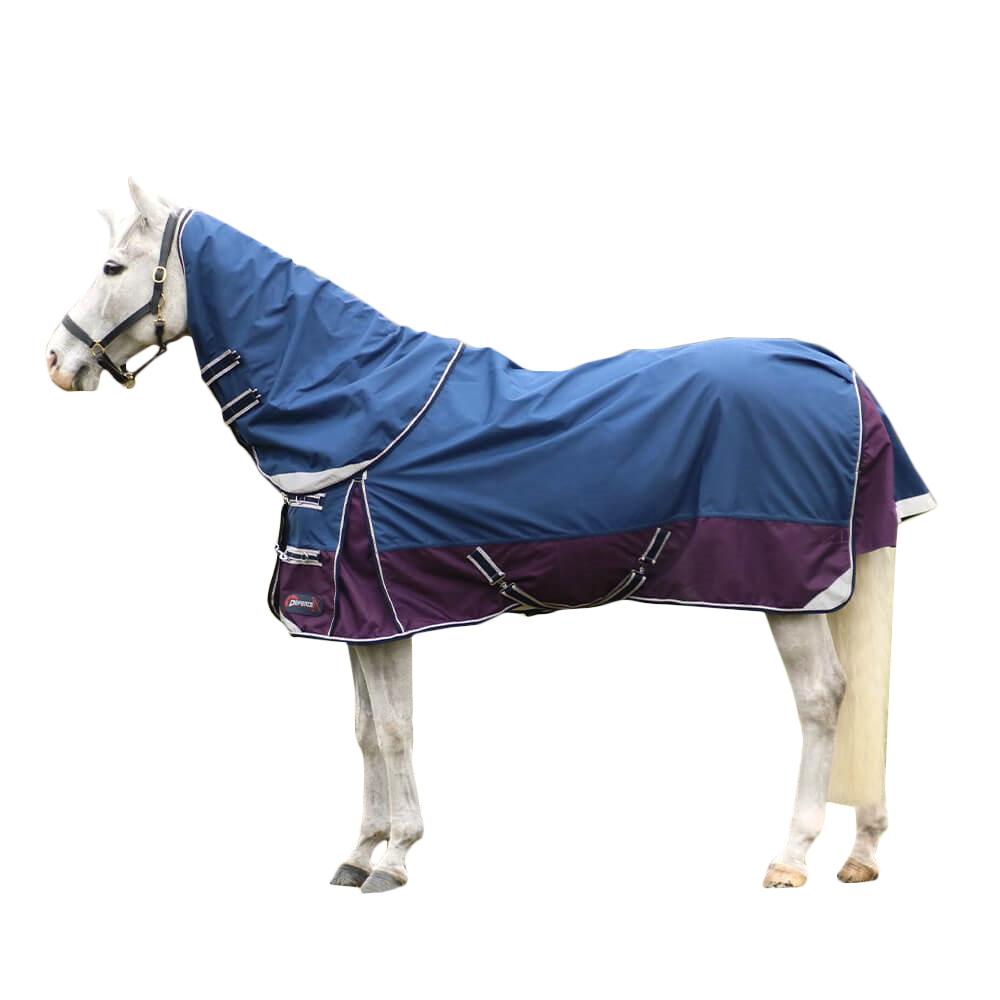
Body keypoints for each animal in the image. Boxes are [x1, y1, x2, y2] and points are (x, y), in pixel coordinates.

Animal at [46, 180, 935, 893]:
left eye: (114, 270)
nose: (56, 360)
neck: (359, 407)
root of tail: (840, 373)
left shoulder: (381, 610)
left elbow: (395, 727)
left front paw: (395, 858)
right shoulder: (352, 618)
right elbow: (365, 731)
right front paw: (359, 852)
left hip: (790, 591)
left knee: (822, 700)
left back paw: (791, 856)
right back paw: (862, 854)